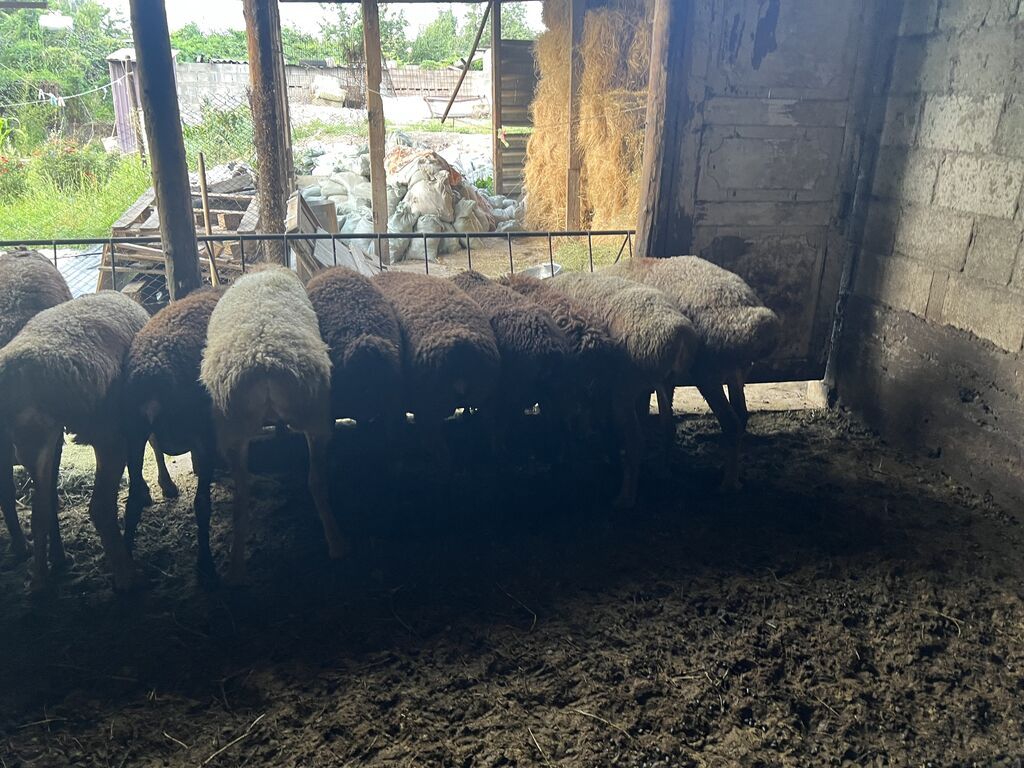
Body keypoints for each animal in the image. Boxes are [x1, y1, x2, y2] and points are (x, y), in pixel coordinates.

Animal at [0, 292, 149, 591]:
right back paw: (126, 577)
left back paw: (42, 579)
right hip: (104, 433)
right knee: (99, 507)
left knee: (40, 510)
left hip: (38, 443)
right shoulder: (128, 429)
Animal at [121, 288, 224, 585]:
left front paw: (165, 484)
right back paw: (207, 567)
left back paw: (125, 570)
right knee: (201, 504)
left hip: (133, 430)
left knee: (133, 500)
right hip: (201, 430)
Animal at [608, 256, 781, 489]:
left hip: (707, 375)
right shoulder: (666, 379)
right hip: (736, 373)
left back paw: (728, 483)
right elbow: (667, 424)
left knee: (732, 423)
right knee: (742, 415)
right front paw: (664, 469)